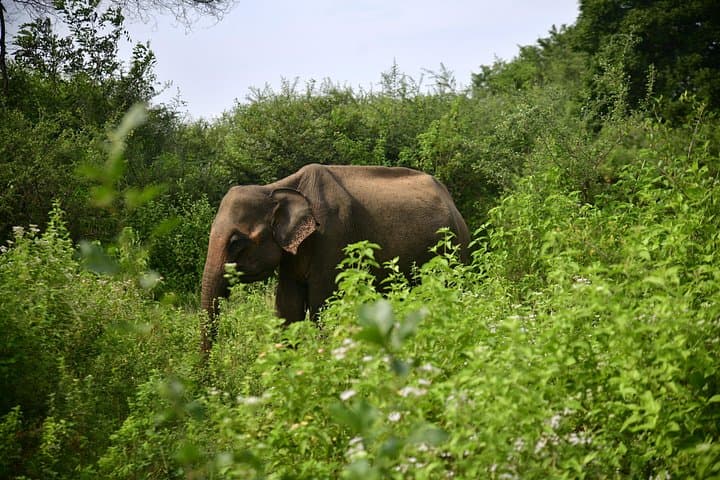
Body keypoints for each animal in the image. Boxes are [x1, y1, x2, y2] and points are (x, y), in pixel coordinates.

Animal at [200, 163, 470, 354]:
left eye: (236, 242)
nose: (206, 376)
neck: (276, 188)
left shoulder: (331, 240)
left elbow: (322, 307)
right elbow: (288, 309)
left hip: (457, 248)